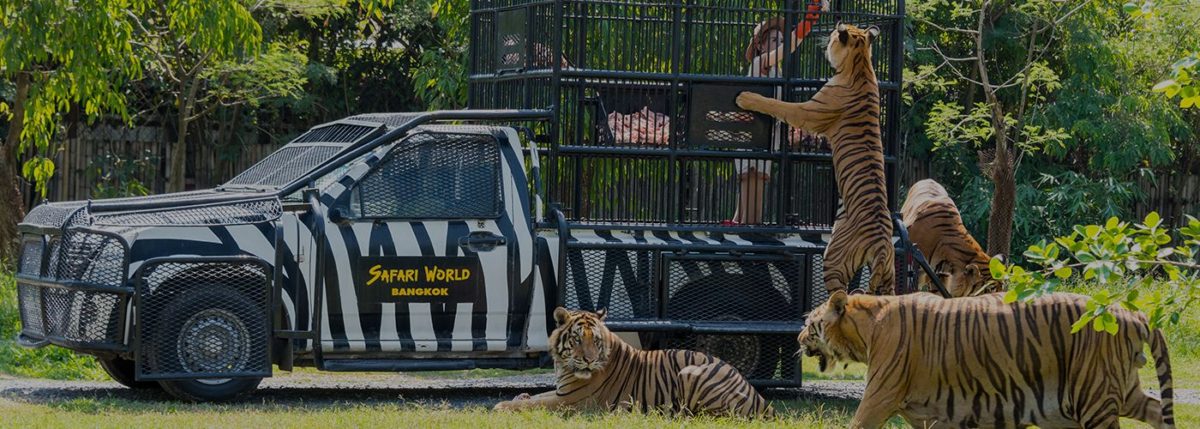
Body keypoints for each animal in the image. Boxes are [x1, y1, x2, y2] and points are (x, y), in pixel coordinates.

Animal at [492, 306, 772, 417]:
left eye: (595, 341)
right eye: (577, 339)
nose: (588, 361)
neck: (564, 365)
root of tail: (760, 399)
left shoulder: (570, 401)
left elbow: (531, 405)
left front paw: (501, 406)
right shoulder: (561, 392)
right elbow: (535, 397)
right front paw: (521, 395)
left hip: (691, 373)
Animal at [734, 22, 897, 294]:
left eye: (832, 36)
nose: (828, 34)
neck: (861, 64)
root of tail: (882, 246)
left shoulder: (807, 112)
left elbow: (778, 105)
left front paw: (747, 97)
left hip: (834, 259)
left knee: (839, 292)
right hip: (888, 276)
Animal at [796, 289, 1171, 426]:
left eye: (809, 325)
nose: (798, 339)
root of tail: (1131, 313)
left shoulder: (879, 396)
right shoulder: (929, 416)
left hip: (1094, 396)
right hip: (1115, 391)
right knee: (1157, 410)